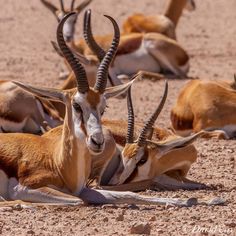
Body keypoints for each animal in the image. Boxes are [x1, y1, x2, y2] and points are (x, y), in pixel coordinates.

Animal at [0, 13, 223, 207]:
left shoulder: (85, 188)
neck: (58, 163)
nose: (97, 141)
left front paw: (200, 200)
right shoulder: (26, 188)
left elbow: (128, 194)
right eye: (77, 105)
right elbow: (81, 200)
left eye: (104, 107)